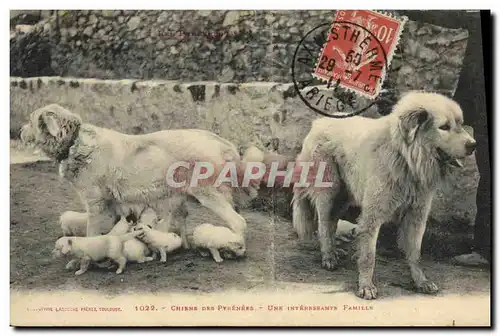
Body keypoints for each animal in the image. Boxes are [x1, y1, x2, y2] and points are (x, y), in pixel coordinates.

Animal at [20, 105, 254, 247]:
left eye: (30, 121)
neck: (73, 142)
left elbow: (91, 232)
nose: (21, 131)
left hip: (209, 194)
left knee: (239, 222)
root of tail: (222, 142)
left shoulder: (95, 204)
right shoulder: (111, 205)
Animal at [292, 91, 476, 300]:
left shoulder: (416, 215)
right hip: (329, 191)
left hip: (344, 196)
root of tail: (319, 122)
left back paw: (334, 250)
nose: (473, 145)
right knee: (323, 224)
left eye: (460, 124)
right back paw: (328, 256)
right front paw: (366, 286)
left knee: (332, 222)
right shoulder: (372, 216)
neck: (405, 157)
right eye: (444, 127)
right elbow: (368, 256)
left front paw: (421, 281)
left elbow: (415, 253)